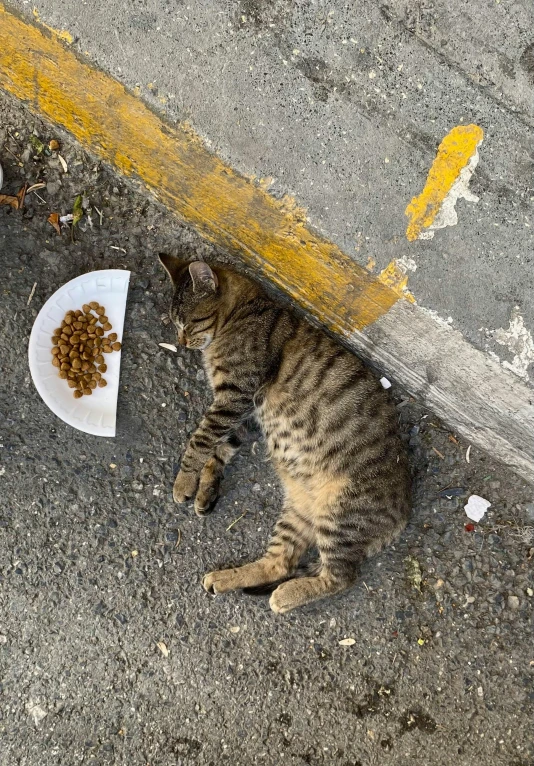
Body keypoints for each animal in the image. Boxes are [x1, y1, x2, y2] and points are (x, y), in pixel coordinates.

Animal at [160, 255, 414, 616]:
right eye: (175, 324)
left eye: (189, 324)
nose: (181, 343)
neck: (245, 311)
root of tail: (403, 512)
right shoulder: (249, 414)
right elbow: (220, 448)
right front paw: (206, 485)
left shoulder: (235, 395)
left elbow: (202, 440)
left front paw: (184, 481)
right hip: (300, 511)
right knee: (279, 563)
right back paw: (227, 578)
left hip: (339, 516)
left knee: (340, 576)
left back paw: (286, 595)